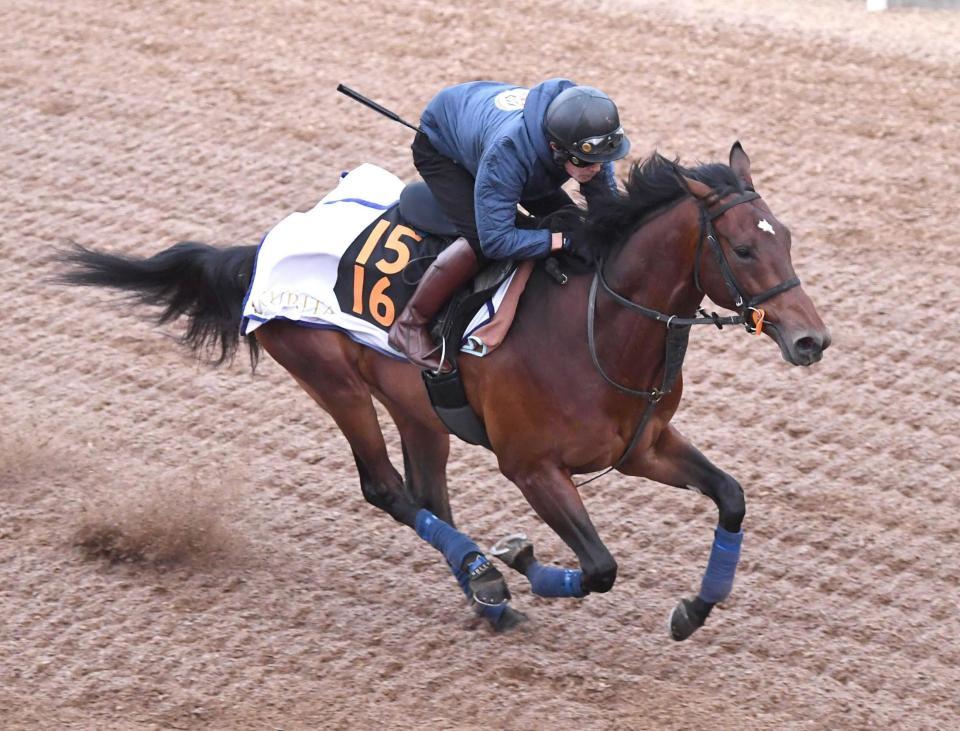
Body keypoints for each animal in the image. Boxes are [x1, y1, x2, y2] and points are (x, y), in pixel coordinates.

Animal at [60, 143, 828, 640]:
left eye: (787, 237)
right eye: (744, 248)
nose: (810, 340)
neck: (595, 329)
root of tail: (269, 244)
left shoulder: (644, 445)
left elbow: (731, 495)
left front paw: (696, 608)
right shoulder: (531, 467)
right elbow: (601, 566)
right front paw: (520, 558)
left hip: (417, 407)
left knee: (427, 493)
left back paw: (484, 592)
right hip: (331, 377)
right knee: (386, 489)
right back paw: (486, 576)